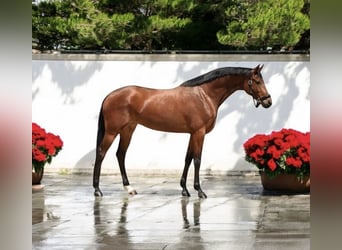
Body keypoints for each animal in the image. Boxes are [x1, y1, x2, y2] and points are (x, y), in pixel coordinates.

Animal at [92, 64, 272, 199]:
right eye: (256, 81)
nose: (268, 101)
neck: (204, 95)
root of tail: (109, 96)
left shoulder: (192, 133)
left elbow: (187, 158)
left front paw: (185, 189)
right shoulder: (199, 132)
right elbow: (197, 160)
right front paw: (199, 191)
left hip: (128, 130)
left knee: (120, 154)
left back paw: (129, 188)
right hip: (112, 132)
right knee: (101, 153)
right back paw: (97, 190)